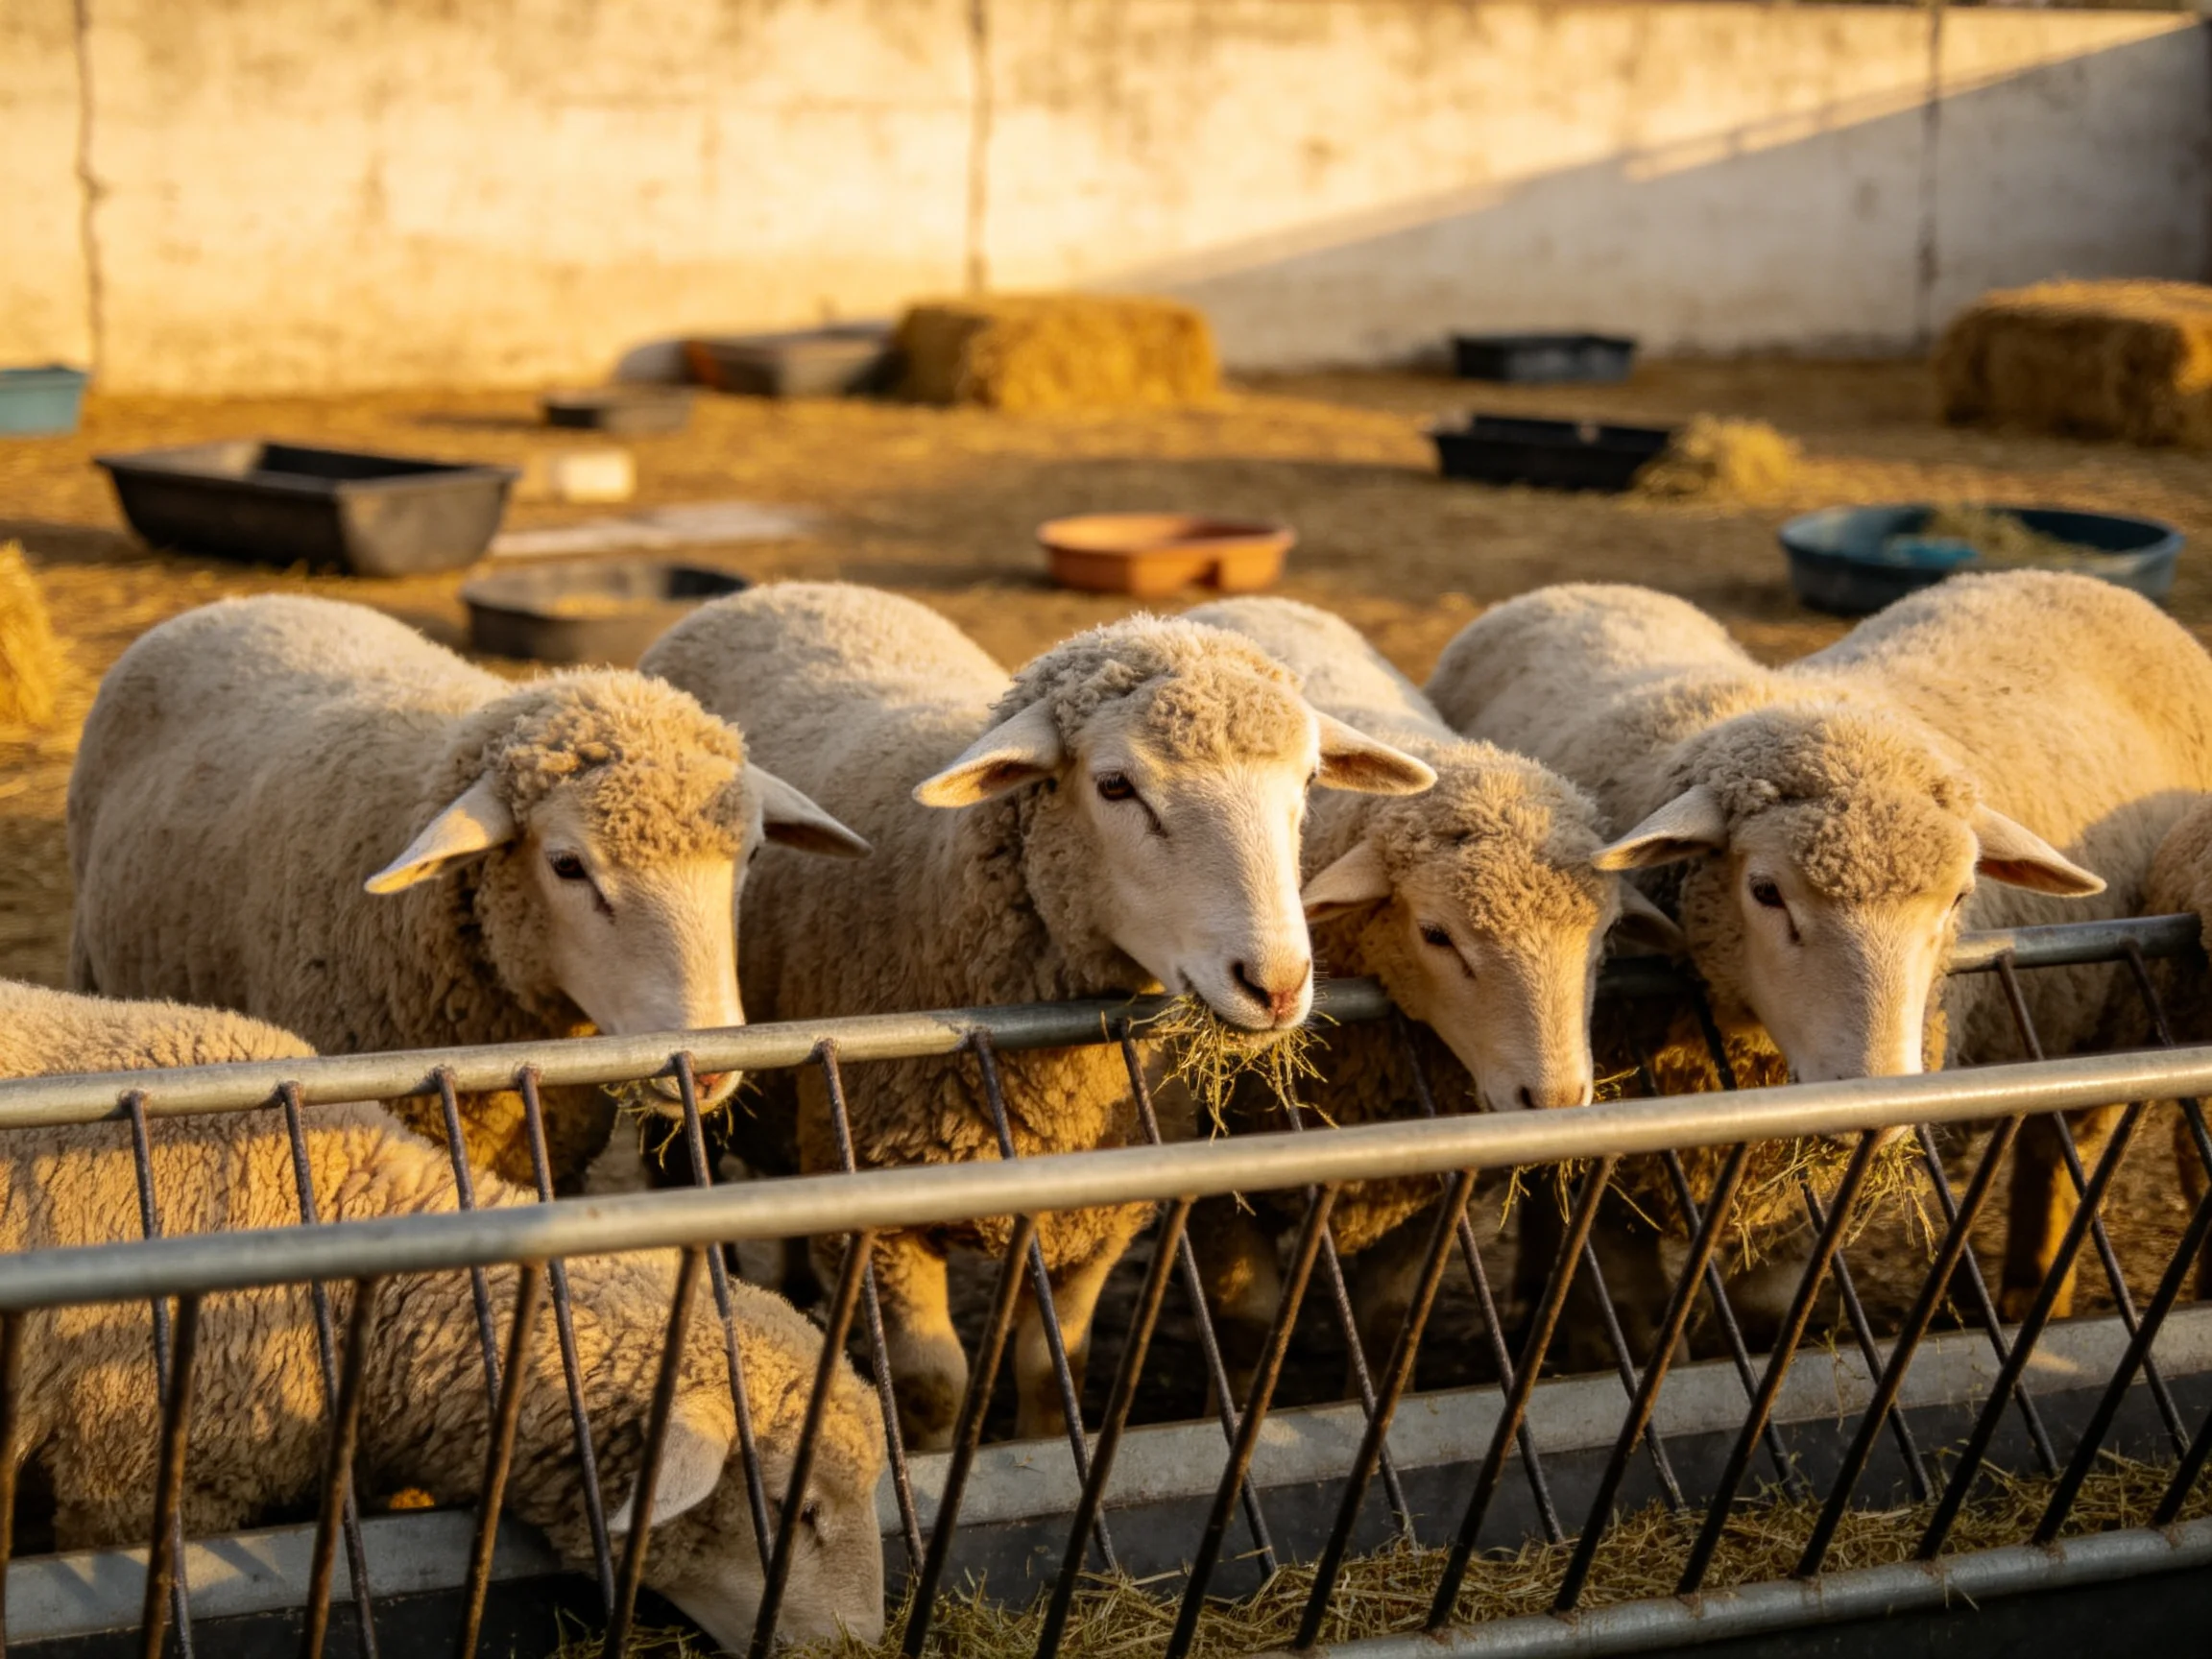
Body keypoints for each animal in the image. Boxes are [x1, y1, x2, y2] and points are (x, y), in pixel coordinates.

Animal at [638, 582, 1435, 1449]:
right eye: (1116, 785)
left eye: (1310, 779)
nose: (1277, 984)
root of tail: (786, 588)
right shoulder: (882, 1223)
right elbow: (932, 1387)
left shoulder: (1091, 1218)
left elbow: (1053, 1373)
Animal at [1178, 597, 1682, 1385]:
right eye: (1437, 934)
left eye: (1605, 940)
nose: (1555, 1100)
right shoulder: (1218, 1183)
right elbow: (1243, 1326)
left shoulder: (1423, 1184)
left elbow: (1389, 1320)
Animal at [1430, 574, 2212, 1317]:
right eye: (1766, 891)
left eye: (1960, 898)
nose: (1875, 1099)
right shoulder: (1622, 1167)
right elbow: (1636, 1302)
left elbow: (1767, 1311)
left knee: (2057, 1150)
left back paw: (2032, 1292)